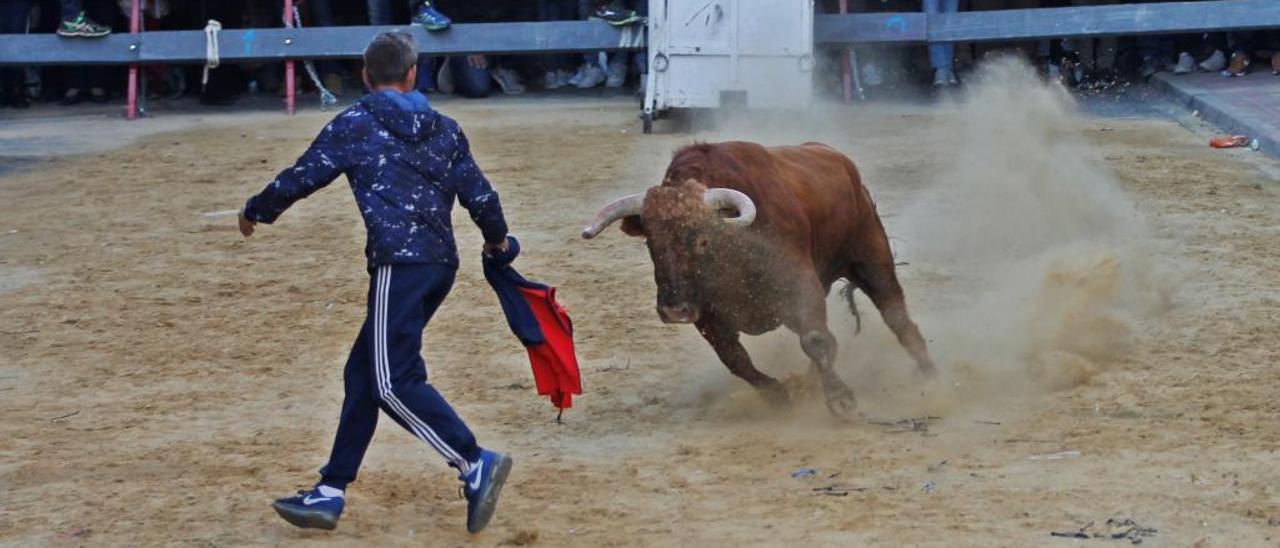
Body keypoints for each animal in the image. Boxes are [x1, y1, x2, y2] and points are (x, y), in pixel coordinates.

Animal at [586, 140, 936, 414]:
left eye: (702, 239)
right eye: (651, 242)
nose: (674, 310)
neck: (733, 247)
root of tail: (839, 161)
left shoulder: (800, 286)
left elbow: (814, 339)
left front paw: (840, 399)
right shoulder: (707, 314)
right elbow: (735, 358)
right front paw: (778, 396)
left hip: (871, 260)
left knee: (897, 319)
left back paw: (929, 375)